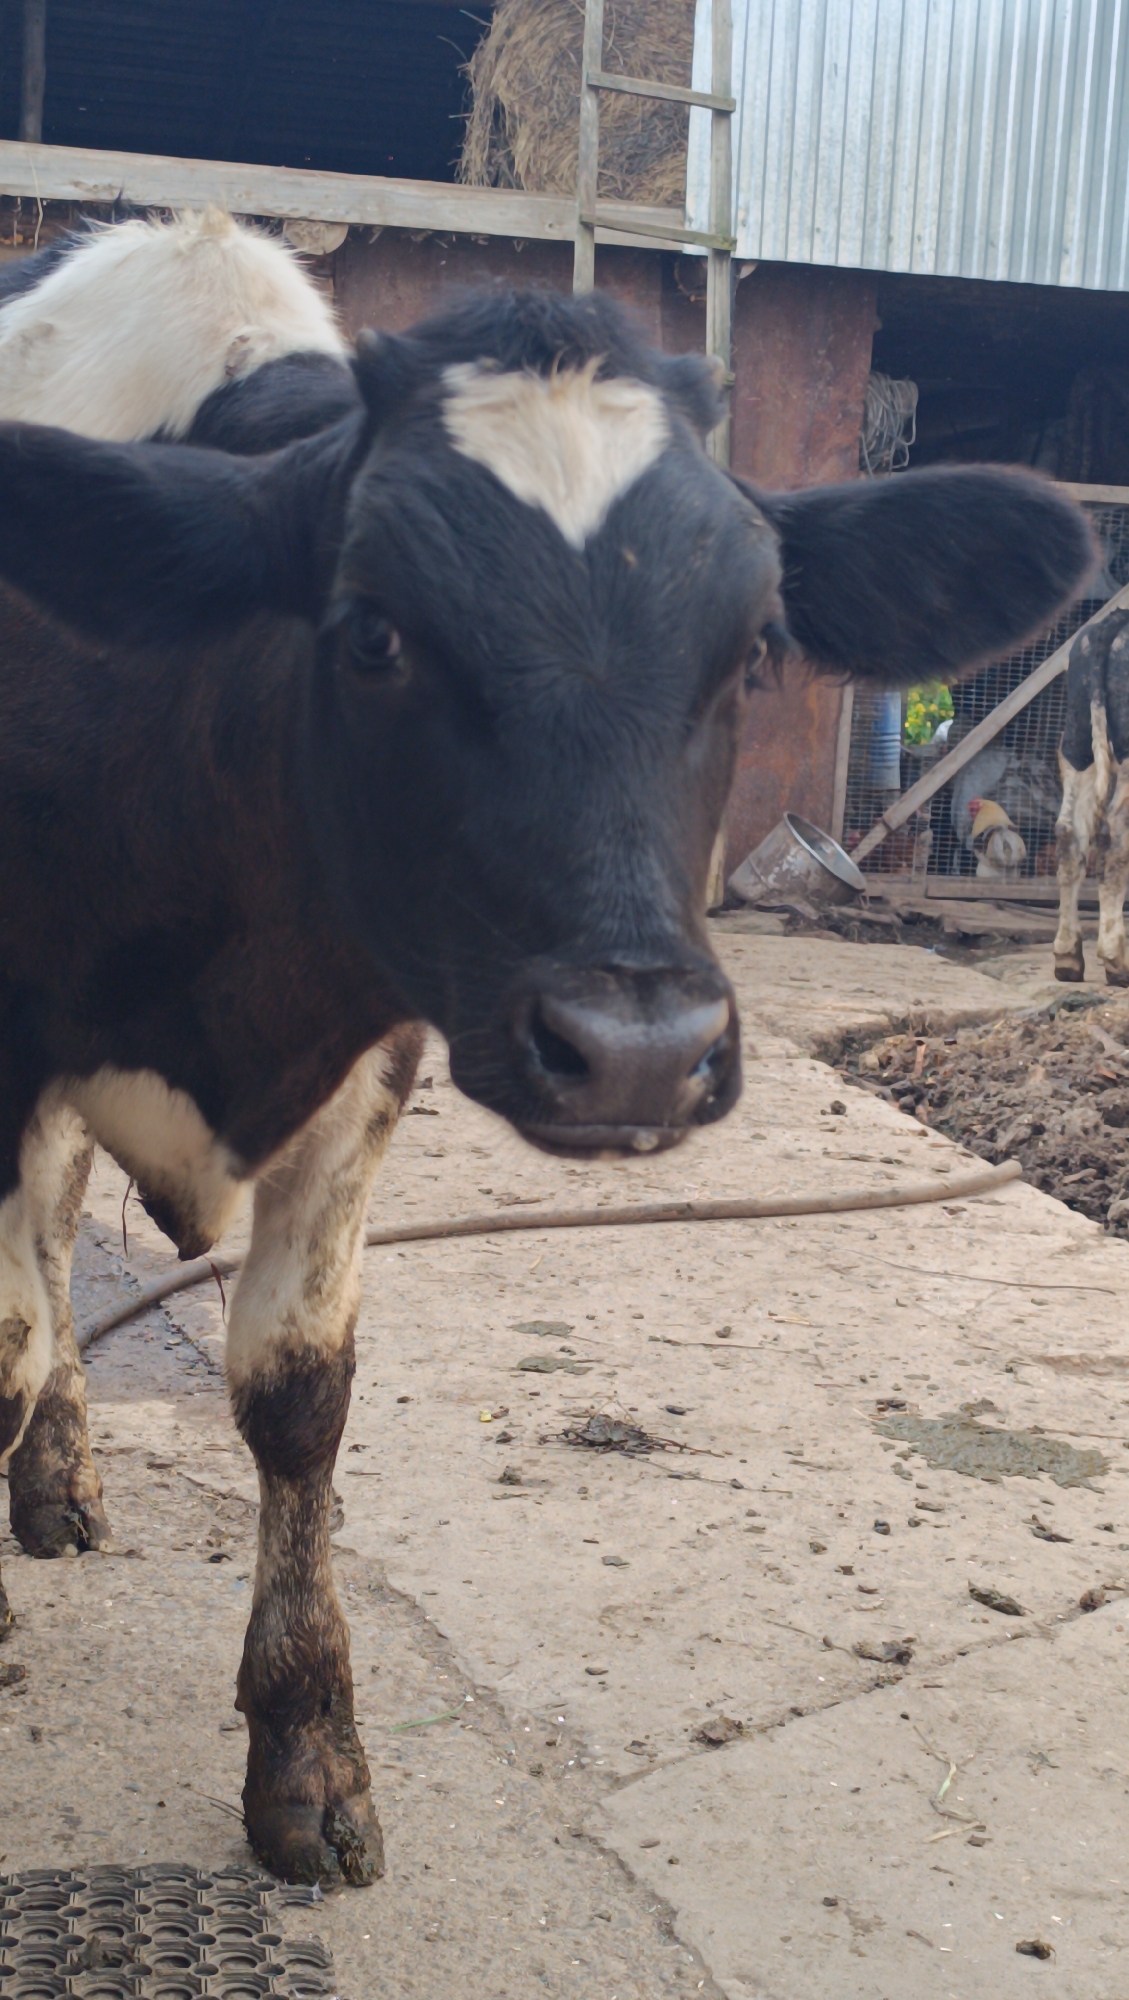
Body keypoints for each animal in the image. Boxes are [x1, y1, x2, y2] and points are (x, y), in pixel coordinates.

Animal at [0, 212, 1093, 1887]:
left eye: (755, 647)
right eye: (373, 632)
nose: (637, 1048)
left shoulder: (370, 1059)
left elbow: (298, 1390)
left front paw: (309, 1755)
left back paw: (60, 1472)